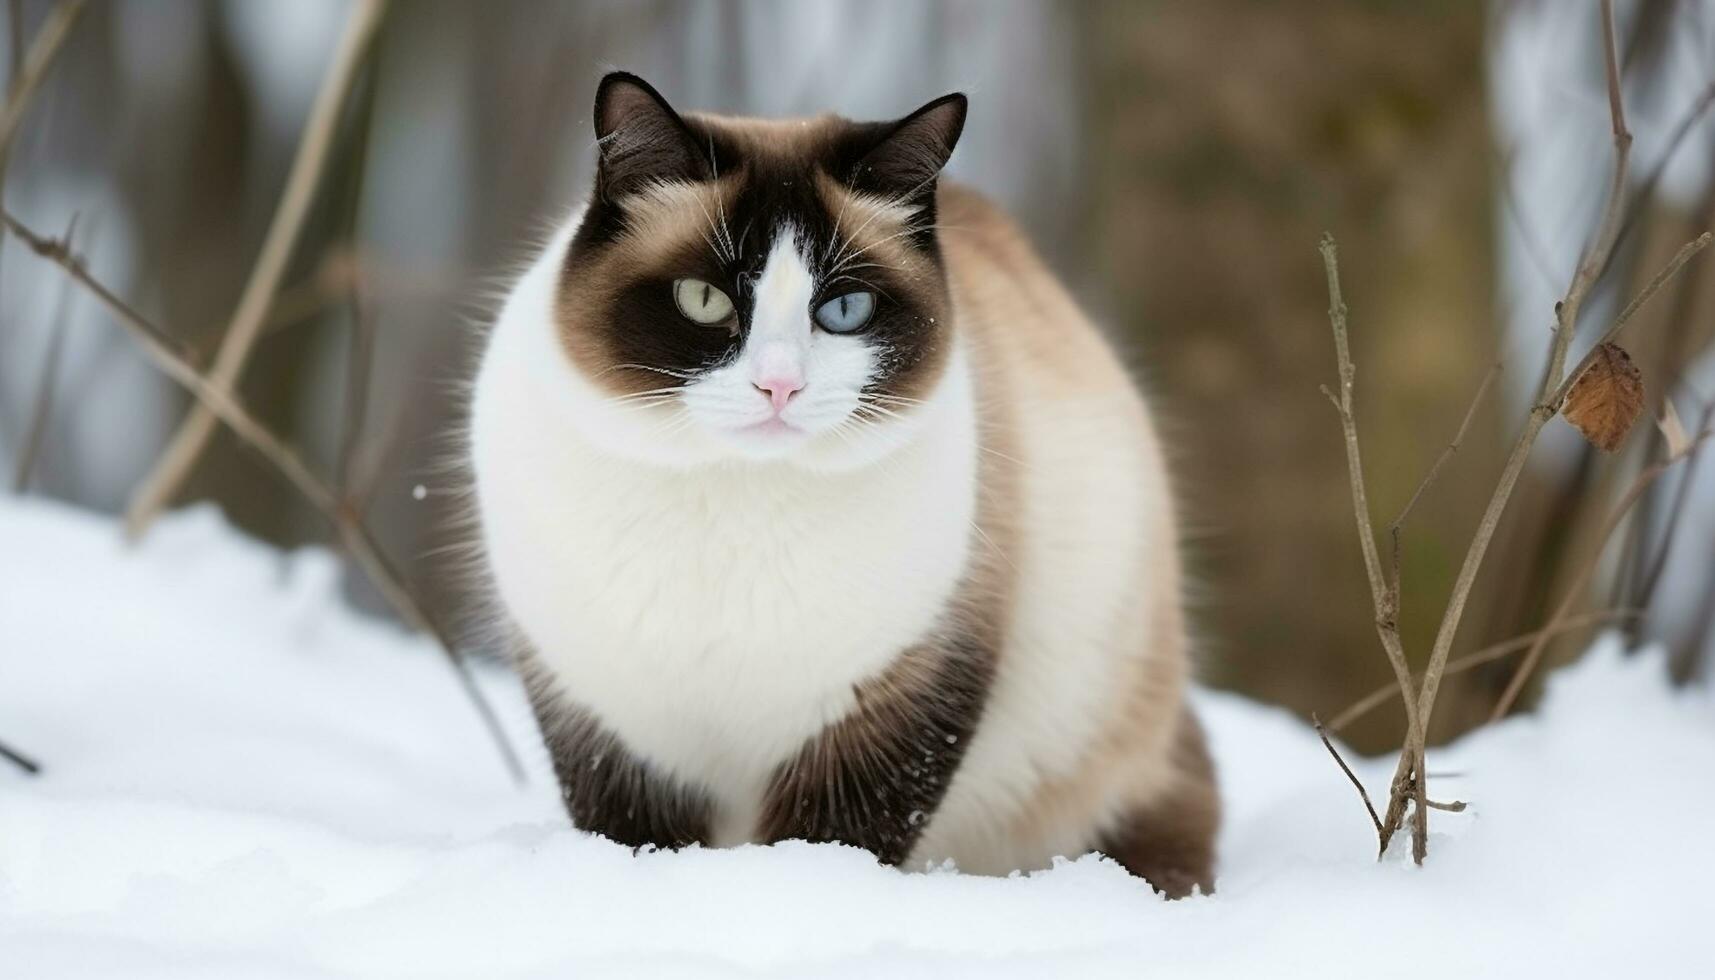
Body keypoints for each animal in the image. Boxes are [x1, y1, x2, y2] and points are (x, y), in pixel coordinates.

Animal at [469, 69, 1221, 899]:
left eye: (843, 310)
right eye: (704, 300)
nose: (778, 387)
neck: (731, 501)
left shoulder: (897, 700)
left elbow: (830, 846)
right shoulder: (610, 721)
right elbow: (632, 839)